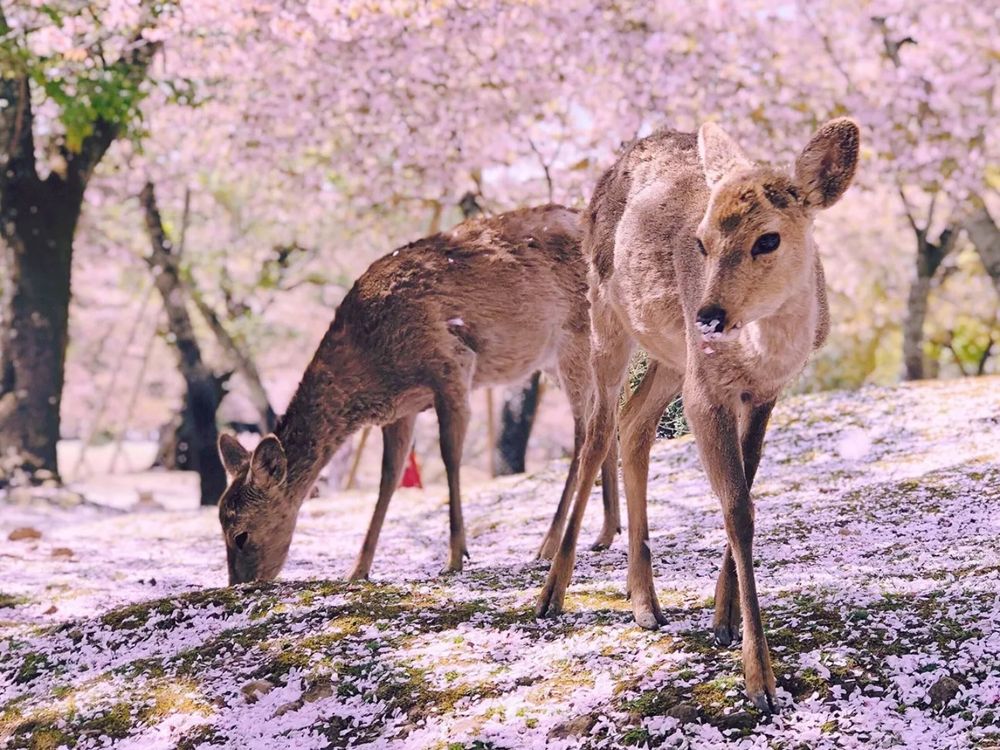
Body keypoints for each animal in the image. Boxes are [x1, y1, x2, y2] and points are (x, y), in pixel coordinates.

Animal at [219, 204, 620, 588]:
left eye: (241, 534)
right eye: (220, 526)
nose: (240, 584)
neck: (372, 364)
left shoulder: (452, 364)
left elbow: (449, 456)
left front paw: (456, 556)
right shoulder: (401, 410)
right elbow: (389, 478)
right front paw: (357, 569)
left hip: (575, 339)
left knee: (584, 429)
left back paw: (549, 544)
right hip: (558, 358)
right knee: (607, 416)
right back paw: (606, 531)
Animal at [536, 117, 864, 712]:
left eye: (768, 238)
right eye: (702, 240)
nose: (710, 315)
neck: (763, 355)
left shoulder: (763, 393)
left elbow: (745, 494)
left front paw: (723, 618)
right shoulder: (706, 391)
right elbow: (737, 508)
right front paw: (761, 681)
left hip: (671, 355)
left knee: (634, 424)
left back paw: (644, 602)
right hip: (606, 315)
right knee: (597, 430)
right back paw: (552, 593)